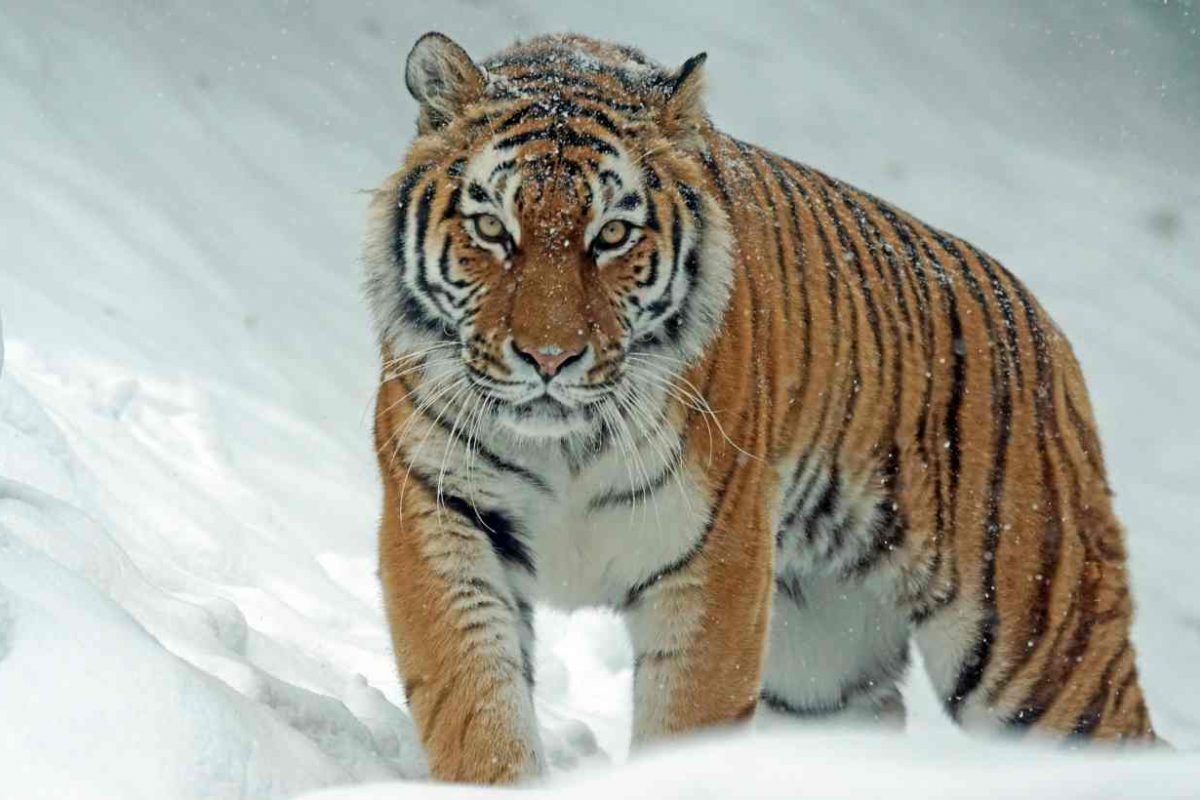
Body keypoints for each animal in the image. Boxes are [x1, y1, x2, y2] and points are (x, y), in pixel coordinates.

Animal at [364, 31, 1158, 784]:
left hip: (1040, 646)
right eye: (492, 230)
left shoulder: (715, 561)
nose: (550, 359)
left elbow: (686, 723)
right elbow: (475, 705)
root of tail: (1045, 328)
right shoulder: (441, 517)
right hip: (824, 667)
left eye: (612, 235)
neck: (564, 445)